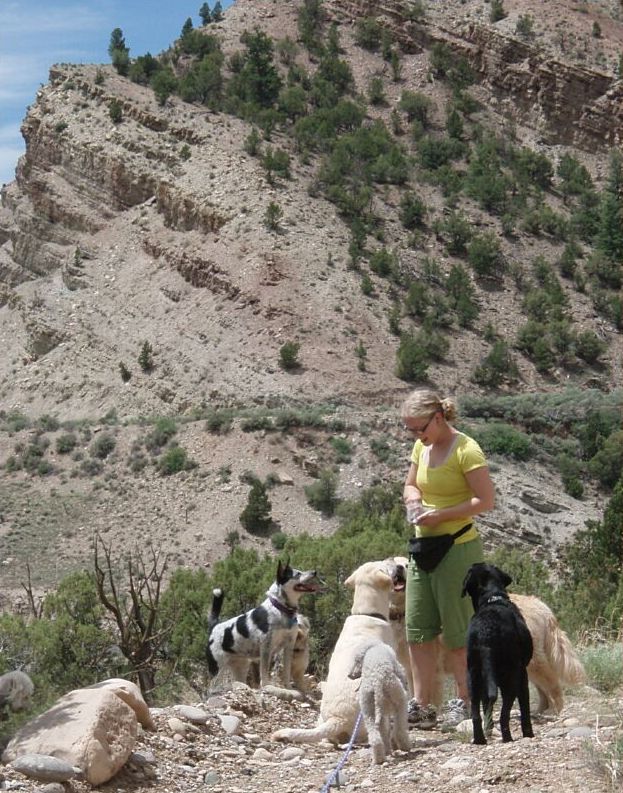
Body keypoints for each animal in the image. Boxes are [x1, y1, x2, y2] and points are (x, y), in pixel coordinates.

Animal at [207, 556, 324, 688]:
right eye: (298, 574)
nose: (315, 572)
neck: (281, 609)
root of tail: (214, 626)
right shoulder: (266, 648)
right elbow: (264, 673)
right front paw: (266, 686)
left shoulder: (288, 646)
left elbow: (287, 673)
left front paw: (288, 687)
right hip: (217, 669)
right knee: (211, 687)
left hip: (241, 667)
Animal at [464, 564, 536, 744]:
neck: (493, 598)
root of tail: (486, 631)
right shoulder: (522, 673)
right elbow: (525, 706)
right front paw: (528, 734)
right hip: (510, 676)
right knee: (504, 714)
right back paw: (507, 738)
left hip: (473, 676)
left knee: (477, 713)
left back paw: (480, 739)